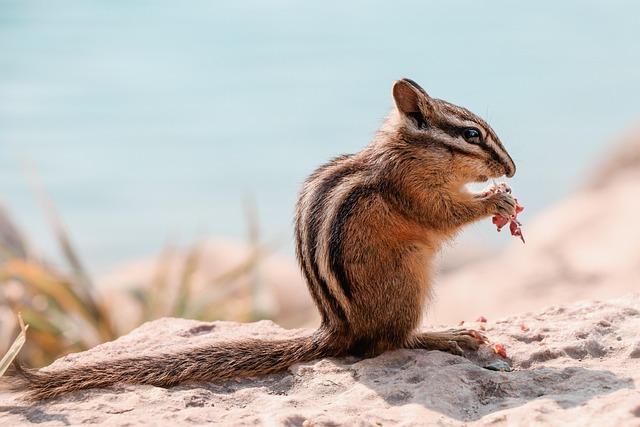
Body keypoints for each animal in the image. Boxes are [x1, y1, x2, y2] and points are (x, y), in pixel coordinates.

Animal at [7, 78, 517, 400]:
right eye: (472, 134)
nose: (511, 169)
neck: (408, 151)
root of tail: (338, 329)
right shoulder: (410, 190)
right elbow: (442, 214)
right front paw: (495, 200)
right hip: (407, 282)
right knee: (388, 343)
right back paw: (446, 335)